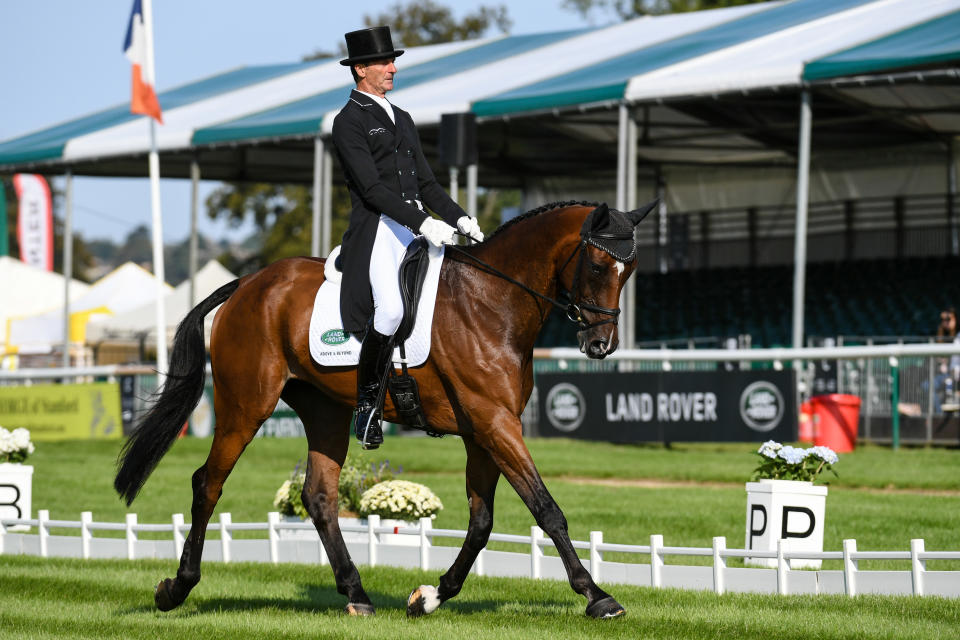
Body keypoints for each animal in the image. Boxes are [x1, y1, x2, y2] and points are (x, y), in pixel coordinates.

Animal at [112, 200, 652, 620]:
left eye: (630, 271)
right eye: (599, 266)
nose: (601, 345)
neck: (492, 301)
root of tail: (247, 284)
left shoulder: (485, 430)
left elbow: (481, 523)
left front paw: (431, 596)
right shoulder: (495, 424)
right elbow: (546, 509)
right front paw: (597, 596)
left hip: (326, 412)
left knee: (319, 498)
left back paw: (357, 594)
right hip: (245, 406)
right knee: (209, 484)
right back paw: (176, 587)